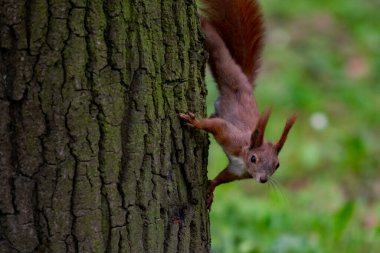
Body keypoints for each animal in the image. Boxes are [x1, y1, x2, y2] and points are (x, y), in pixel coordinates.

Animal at [179, 0, 296, 208]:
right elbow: (216, 125)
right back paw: (202, 23)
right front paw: (195, 122)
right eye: (254, 158)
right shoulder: (231, 137)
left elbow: (223, 177)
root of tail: (246, 82)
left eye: (277, 165)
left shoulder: (237, 171)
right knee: (217, 47)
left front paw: (211, 189)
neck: (243, 156)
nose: (263, 179)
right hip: (227, 69)